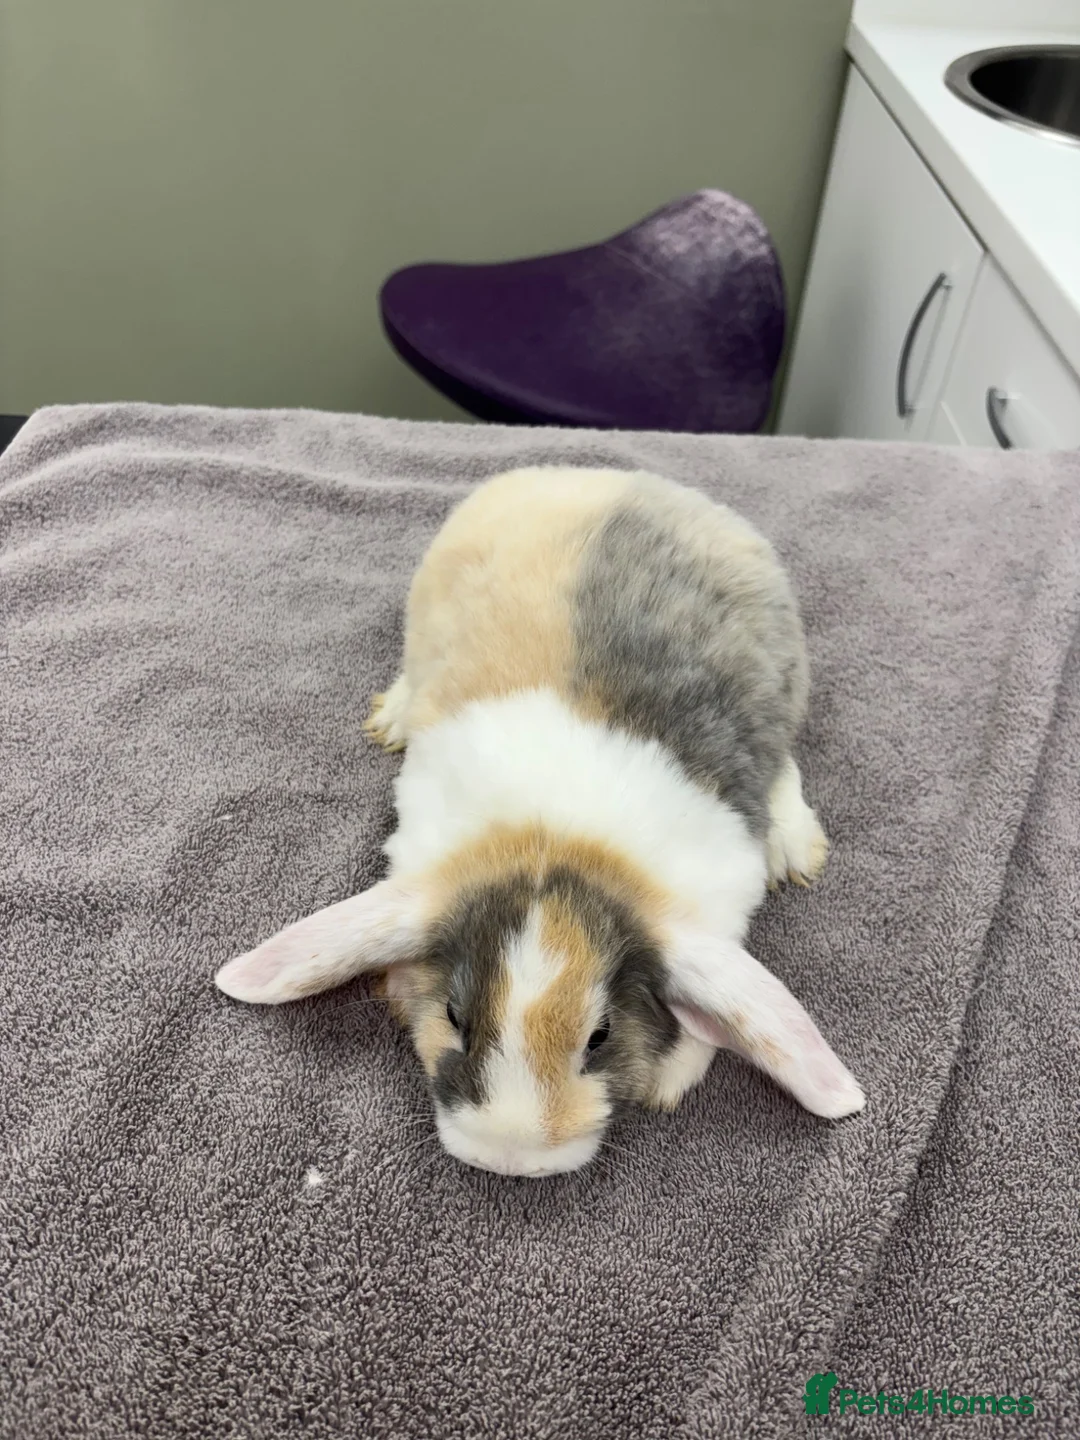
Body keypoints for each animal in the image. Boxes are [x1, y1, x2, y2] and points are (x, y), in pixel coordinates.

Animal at [215, 466, 864, 1176]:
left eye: (600, 1036)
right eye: (455, 1016)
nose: (510, 1156)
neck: (554, 838)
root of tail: (609, 480)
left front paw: (665, 1084)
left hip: (785, 681)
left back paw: (794, 849)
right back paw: (394, 717)